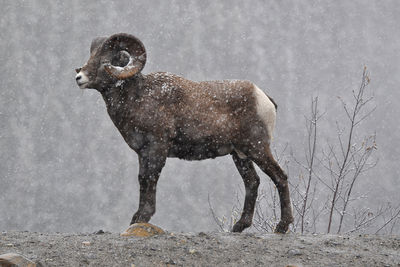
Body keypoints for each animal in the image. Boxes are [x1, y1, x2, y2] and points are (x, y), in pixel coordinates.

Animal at [75, 33, 294, 232]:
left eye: (105, 61)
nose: (79, 78)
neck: (137, 98)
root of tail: (263, 98)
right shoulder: (143, 153)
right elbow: (142, 179)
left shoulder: (156, 149)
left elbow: (149, 179)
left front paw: (142, 217)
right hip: (239, 155)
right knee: (252, 182)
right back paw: (239, 227)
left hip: (256, 148)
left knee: (279, 176)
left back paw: (282, 226)